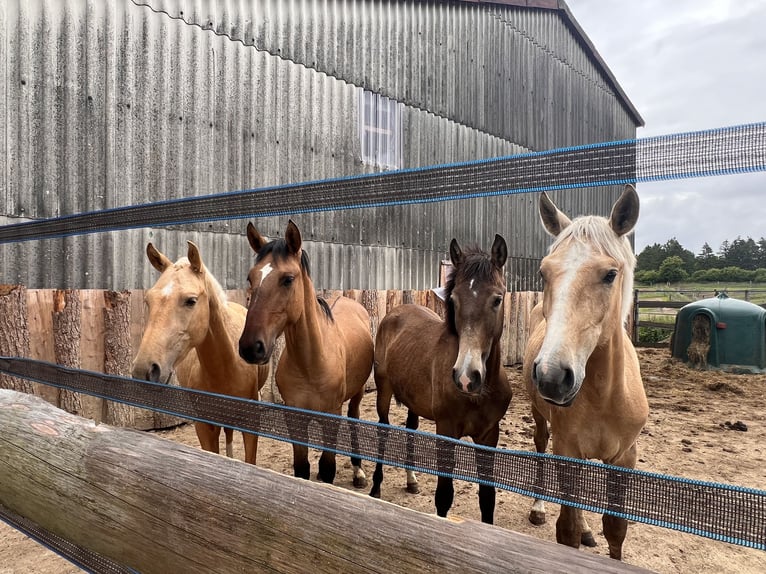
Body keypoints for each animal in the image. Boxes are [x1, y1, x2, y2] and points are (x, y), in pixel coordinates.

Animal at [134, 242, 272, 464]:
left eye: (191, 300)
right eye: (148, 300)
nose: (144, 370)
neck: (227, 368)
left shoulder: (251, 423)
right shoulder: (204, 427)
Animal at [237, 219, 376, 486]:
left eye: (288, 279)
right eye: (250, 278)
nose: (250, 347)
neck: (311, 363)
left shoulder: (331, 415)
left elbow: (327, 467)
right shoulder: (295, 419)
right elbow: (302, 468)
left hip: (357, 394)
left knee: (353, 419)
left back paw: (358, 471)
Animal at [368, 235, 512, 528]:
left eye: (497, 299)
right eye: (454, 300)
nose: (467, 377)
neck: (478, 394)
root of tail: (395, 312)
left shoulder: (489, 435)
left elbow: (487, 497)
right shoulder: (446, 431)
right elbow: (444, 495)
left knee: (411, 428)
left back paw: (411, 481)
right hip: (383, 391)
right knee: (384, 429)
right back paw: (375, 487)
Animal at [520, 184, 656, 564]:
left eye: (610, 274)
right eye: (544, 273)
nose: (552, 375)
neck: (605, 396)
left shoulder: (624, 457)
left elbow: (616, 528)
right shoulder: (568, 451)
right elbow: (565, 530)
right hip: (541, 420)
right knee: (540, 447)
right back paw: (539, 507)